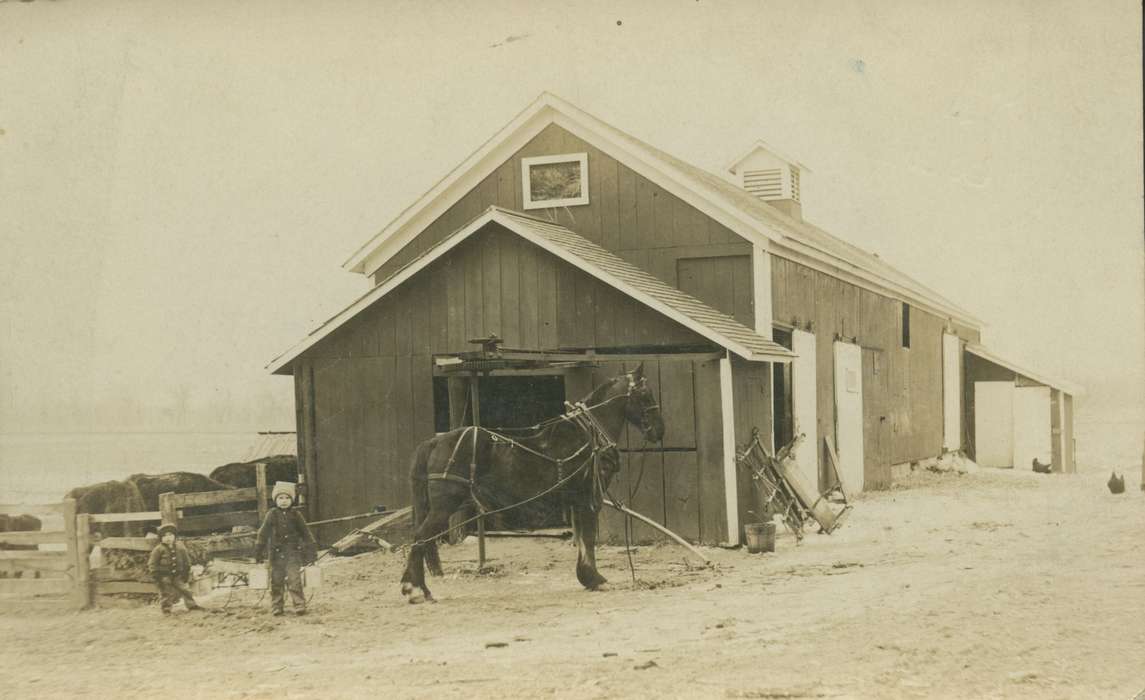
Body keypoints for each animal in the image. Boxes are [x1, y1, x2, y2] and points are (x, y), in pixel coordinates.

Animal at [398, 364, 664, 604]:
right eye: (645, 395)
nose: (659, 431)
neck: (586, 436)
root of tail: (435, 441)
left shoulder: (577, 501)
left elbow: (582, 539)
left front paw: (587, 578)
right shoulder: (587, 498)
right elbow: (588, 539)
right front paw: (595, 579)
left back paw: (417, 588)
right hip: (444, 506)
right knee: (420, 537)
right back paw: (415, 589)